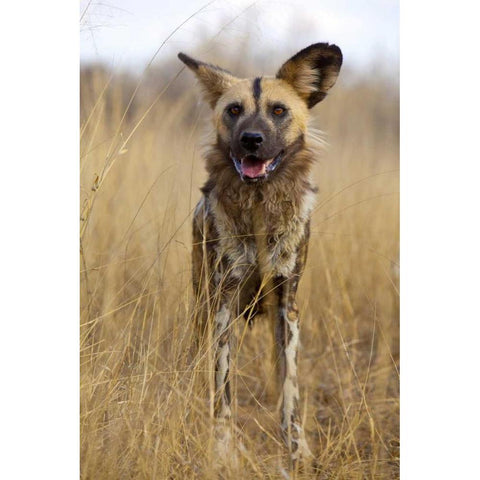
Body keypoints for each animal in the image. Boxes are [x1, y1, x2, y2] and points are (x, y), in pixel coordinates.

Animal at [179, 44, 342, 464]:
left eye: (278, 111)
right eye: (233, 110)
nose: (251, 139)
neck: (258, 207)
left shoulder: (287, 305)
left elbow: (290, 389)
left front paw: (296, 450)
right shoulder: (224, 304)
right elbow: (223, 391)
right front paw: (223, 450)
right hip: (202, 303)